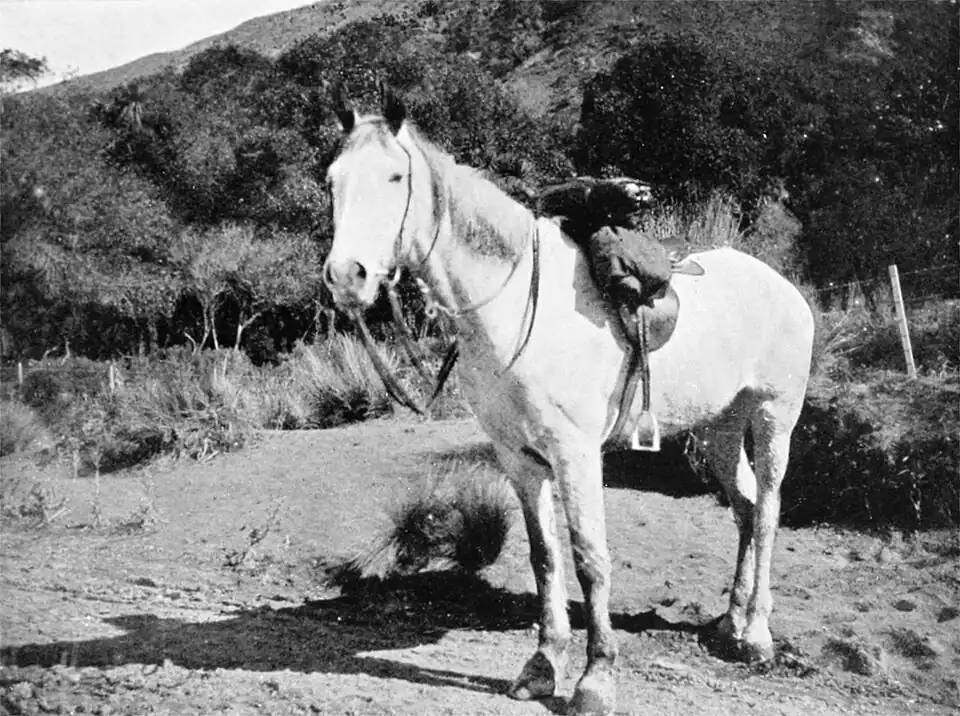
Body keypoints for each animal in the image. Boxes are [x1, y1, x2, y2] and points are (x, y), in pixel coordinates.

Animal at [322, 84, 815, 716]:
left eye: (395, 177)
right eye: (332, 181)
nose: (346, 277)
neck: (511, 305)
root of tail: (781, 286)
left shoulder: (576, 454)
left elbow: (589, 558)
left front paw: (596, 679)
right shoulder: (518, 457)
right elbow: (545, 557)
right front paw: (541, 666)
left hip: (775, 417)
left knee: (771, 509)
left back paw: (756, 634)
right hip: (721, 430)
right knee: (747, 509)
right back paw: (729, 624)